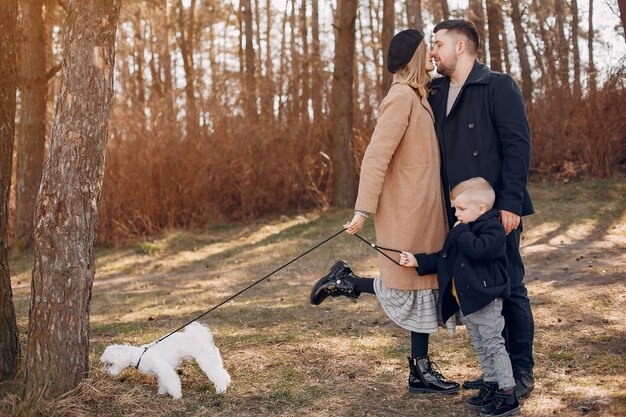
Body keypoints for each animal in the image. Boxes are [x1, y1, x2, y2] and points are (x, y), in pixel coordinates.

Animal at [99, 320, 229, 398]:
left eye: (110, 364)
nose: (105, 372)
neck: (140, 356)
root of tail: (201, 337)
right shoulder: (160, 373)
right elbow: (163, 383)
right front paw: (161, 393)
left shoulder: (165, 370)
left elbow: (173, 382)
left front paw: (176, 396)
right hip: (213, 359)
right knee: (223, 372)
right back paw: (226, 382)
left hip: (207, 361)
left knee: (218, 375)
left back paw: (221, 390)